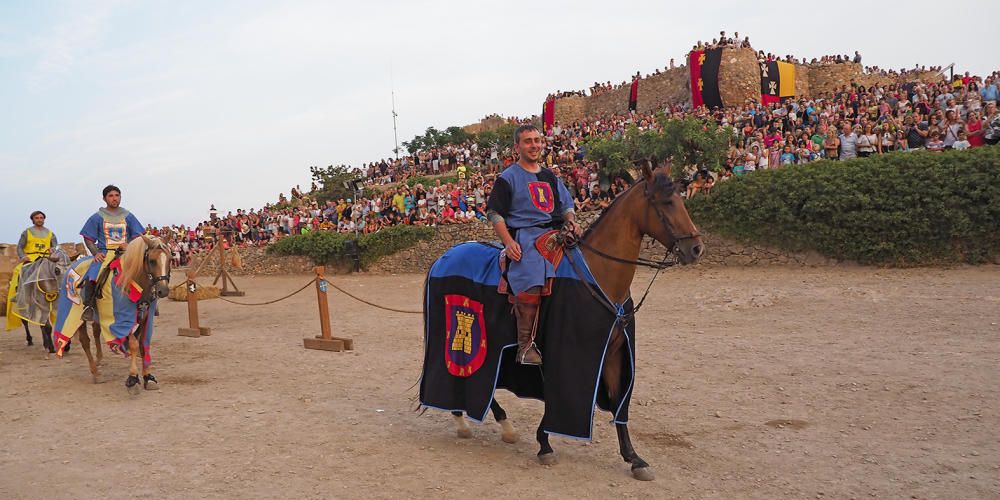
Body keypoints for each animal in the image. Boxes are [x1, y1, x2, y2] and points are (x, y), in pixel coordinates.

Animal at [422, 165, 704, 480]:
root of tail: (443, 258)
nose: (696, 248)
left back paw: (494, 424)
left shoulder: (612, 353)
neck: (599, 271)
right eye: (666, 203)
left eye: (681, 199)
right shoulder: (563, 353)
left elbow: (617, 402)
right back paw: (469, 421)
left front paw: (634, 458)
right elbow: (556, 395)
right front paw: (544, 444)